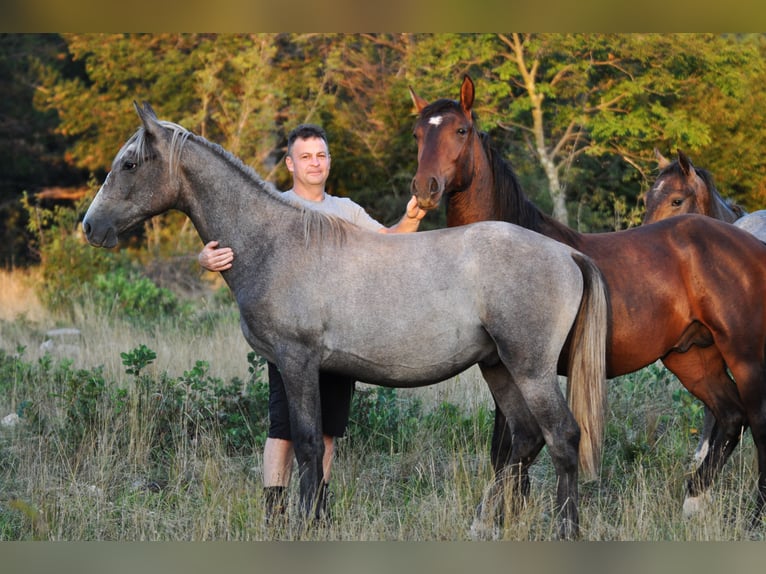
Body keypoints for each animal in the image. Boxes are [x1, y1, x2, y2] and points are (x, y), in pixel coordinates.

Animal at [82, 102, 612, 540]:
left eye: (129, 164)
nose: (90, 226)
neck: (274, 244)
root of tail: (566, 253)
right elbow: (308, 446)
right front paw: (316, 519)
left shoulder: (296, 361)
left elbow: (307, 443)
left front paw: (303, 526)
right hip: (499, 367)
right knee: (525, 439)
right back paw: (484, 524)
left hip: (530, 369)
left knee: (563, 438)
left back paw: (565, 530)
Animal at [414, 74, 766, 532]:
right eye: (418, 133)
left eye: (460, 130)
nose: (425, 188)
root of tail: (750, 244)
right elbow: (505, 447)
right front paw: (508, 514)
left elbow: (512, 446)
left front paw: (501, 517)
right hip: (692, 356)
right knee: (730, 417)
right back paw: (693, 502)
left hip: (745, 357)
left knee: (757, 424)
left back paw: (755, 516)